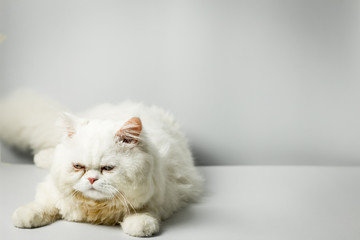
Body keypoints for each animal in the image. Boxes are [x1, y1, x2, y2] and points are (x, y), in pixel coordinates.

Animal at [0, 91, 202, 237]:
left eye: (108, 169)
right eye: (78, 167)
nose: (91, 179)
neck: (96, 209)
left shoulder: (167, 194)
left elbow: (144, 211)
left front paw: (139, 225)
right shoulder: (53, 188)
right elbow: (44, 204)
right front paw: (25, 216)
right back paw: (41, 158)